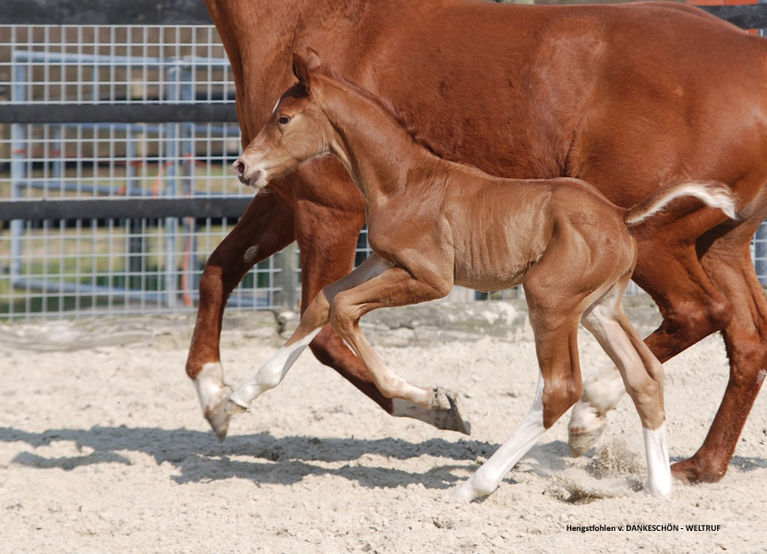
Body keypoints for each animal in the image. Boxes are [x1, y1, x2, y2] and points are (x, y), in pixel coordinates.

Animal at [190, 0, 767, 484]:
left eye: (284, 118)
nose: (241, 166)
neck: (408, 176)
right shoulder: (348, 239)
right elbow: (290, 295)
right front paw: (225, 400)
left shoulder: (360, 234)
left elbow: (336, 321)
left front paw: (433, 403)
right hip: (679, 266)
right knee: (719, 347)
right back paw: (686, 472)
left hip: (602, 273)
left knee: (668, 329)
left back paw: (549, 444)